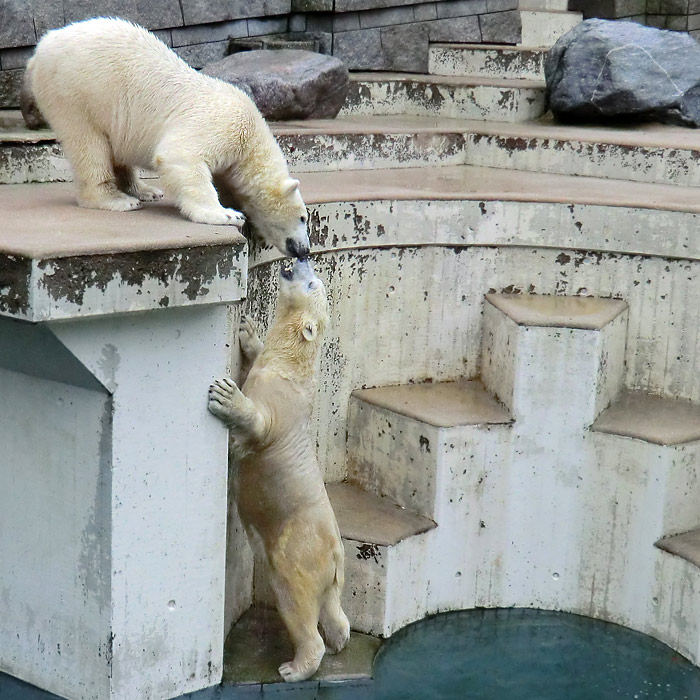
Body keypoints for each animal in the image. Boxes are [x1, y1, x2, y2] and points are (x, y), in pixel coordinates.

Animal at [27, 19, 310, 260]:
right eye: (303, 218)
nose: (304, 249)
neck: (251, 140)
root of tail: (41, 47)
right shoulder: (223, 125)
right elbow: (182, 157)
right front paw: (226, 215)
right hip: (76, 91)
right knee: (89, 145)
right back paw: (117, 199)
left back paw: (144, 190)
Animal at [208, 260, 350, 680]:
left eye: (312, 283)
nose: (300, 258)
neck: (291, 368)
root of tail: (335, 553)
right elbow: (255, 356)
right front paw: (249, 331)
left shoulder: (280, 404)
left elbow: (259, 424)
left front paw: (226, 395)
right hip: (330, 571)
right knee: (333, 607)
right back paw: (340, 639)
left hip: (298, 551)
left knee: (297, 602)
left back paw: (295, 666)